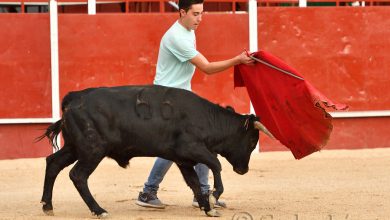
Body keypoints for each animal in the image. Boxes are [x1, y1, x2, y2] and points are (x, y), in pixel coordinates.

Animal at [38, 85, 268, 217]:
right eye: (251, 141)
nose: (243, 170)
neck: (207, 119)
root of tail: (74, 98)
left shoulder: (183, 160)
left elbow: (194, 182)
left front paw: (208, 207)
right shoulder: (192, 148)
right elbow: (216, 164)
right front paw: (214, 196)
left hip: (74, 148)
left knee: (53, 163)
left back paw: (47, 205)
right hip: (92, 150)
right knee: (77, 175)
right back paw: (99, 210)